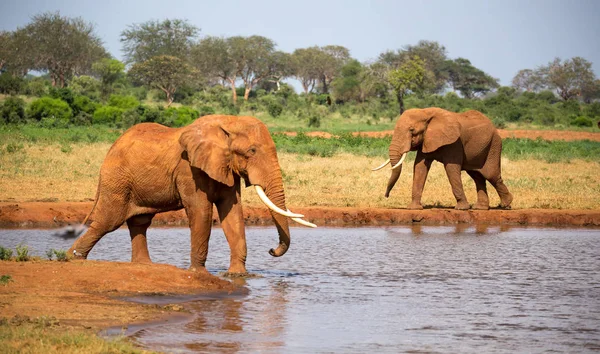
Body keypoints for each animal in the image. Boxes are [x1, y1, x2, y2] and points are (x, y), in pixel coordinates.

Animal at [67, 115, 314, 276]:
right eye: (252, 151)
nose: (271, 250)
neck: (227, 122)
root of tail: (111, 148)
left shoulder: (225, 167)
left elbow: (232, 213)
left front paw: (238, 276)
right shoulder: (189, 168)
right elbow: (201, 212)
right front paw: (198, 273)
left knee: (139, 222)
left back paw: (144, 266)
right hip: (116, 180)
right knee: (107, 221)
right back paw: (72, 258)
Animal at [372, 108, 512, 210]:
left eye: (412, 130)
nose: (386, 196)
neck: (426, 112)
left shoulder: (455, 142)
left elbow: (451, 168)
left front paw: (461, 208)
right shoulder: (426, 140)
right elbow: (420, 167)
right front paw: (414, 208)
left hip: (494, 145)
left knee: (492, 175)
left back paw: (505, 205)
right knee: (477, 176)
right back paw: (480, 208)